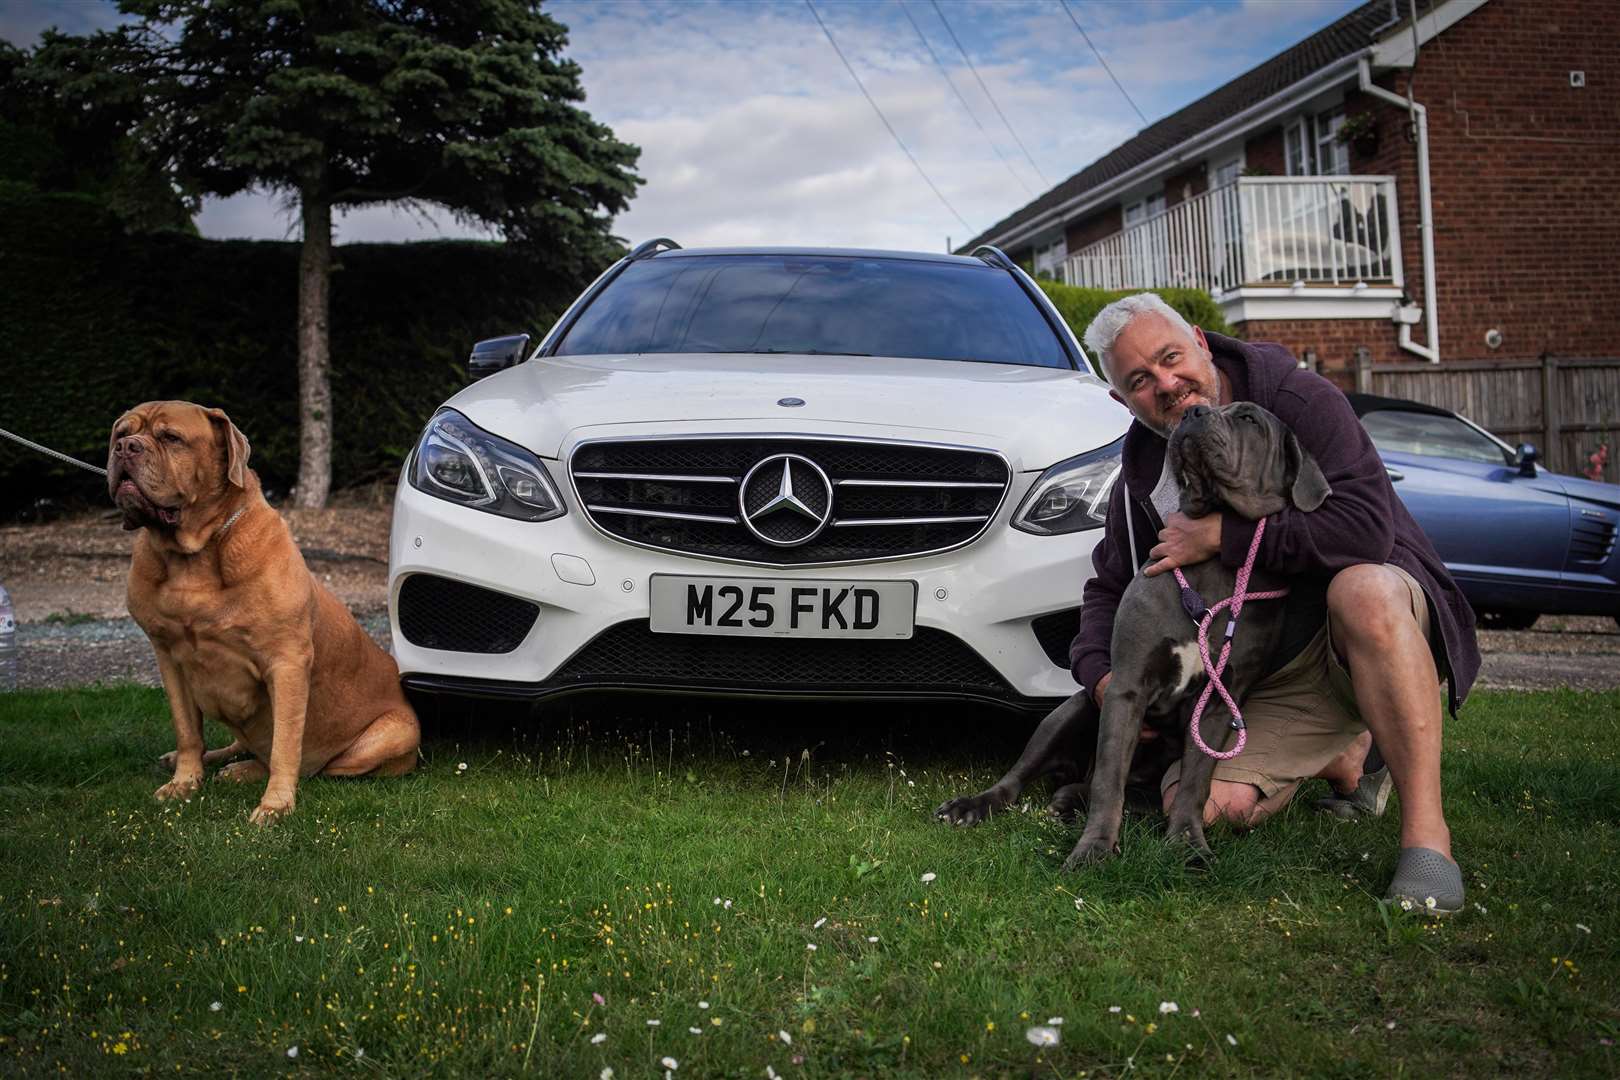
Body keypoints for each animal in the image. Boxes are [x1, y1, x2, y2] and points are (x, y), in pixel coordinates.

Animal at [110, 401, 417, 822]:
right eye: (121, 433)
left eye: (171, 438)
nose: (126, 448)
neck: (192, 556)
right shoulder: (169, 658)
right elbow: (188, 730)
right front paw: (184, 781)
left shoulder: (286, 663)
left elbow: (285, 744)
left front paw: (275, 805)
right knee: (237, 744)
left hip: (390, 736)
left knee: (312, 764)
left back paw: (247, 771)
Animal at [939, 404, 1328, 867]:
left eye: (1250, 419)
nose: (1195, 410)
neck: (1213, 564)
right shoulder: (1126, 687)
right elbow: (1110, 781)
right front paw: (1093, 850)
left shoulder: (1218, 705)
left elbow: (1194, 785)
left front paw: (1189, 845)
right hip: (1071, 710)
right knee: (1026, 777)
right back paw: (974, 805)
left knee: (1137, 793)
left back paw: (1070, 800)